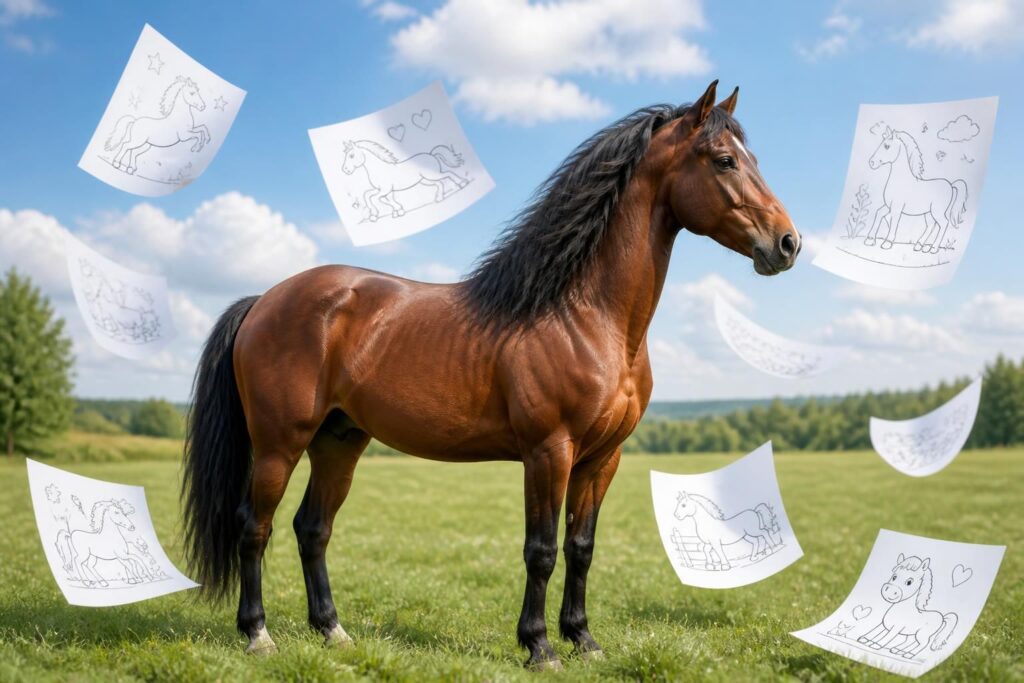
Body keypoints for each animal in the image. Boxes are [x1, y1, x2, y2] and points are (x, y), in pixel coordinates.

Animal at [341, 140, 469, 220]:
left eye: (351, 156)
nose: (345, 170)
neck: (380, 170)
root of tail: (431, 154)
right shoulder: (386, 191)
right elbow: (369, 196)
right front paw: (396, 212)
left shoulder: (385, 190)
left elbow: (377, 198)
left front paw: (391, 212)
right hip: (425, 180)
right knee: (439, 184)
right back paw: (439, 198)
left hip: (432, 175)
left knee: (448, 174)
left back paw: (462, 183)